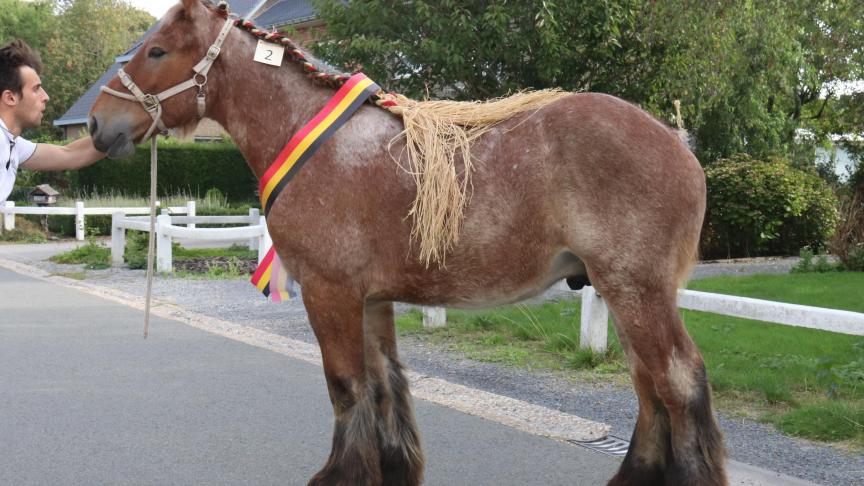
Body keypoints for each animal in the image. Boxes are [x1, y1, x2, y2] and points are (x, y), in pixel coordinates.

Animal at [88, 1, 724, 484]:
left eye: (156, 51)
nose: (96, 124)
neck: (316, 140)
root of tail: (677, 140)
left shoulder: (330, 292)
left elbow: (346, 388)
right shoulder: (369, 299)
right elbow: (383, 384)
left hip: (635, 290)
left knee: (677, 381)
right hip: (623, 292)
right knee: (649, 386)